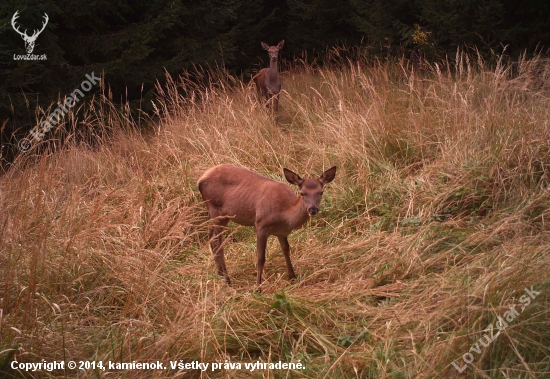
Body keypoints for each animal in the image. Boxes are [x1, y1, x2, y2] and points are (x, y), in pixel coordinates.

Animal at [198, 163, 336, 290]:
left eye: (321, 192)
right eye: (302, 193)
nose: (313, 209)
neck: (284, 214)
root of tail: (200, 180)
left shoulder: (282, 232)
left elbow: (286, 250)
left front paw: (292, 277)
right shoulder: (261, 225)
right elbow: (261, 258)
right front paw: (258, 287)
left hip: (222, 216)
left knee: (211, 238)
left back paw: (220, 274)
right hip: (215, 209)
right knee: (218, 243)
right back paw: (227, 280)